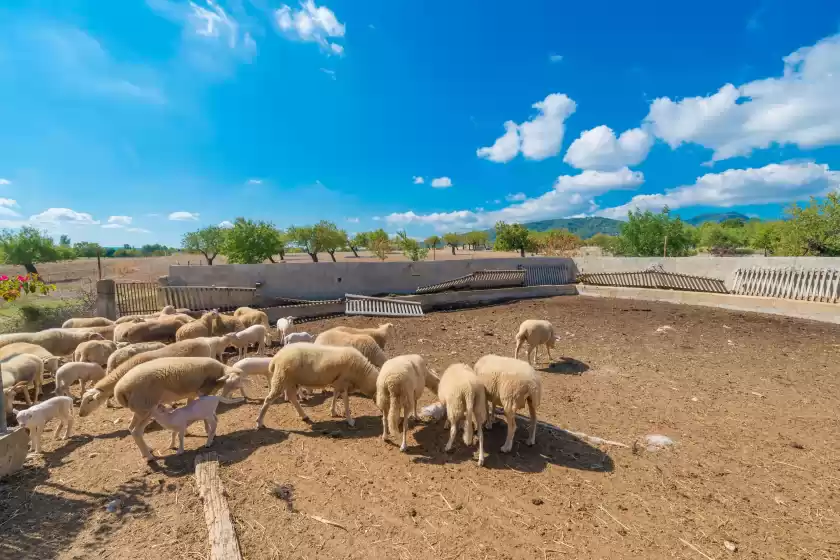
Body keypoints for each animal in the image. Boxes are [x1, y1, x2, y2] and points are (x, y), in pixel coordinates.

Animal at [113, 356, 243, 462]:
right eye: (234, 382)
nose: (228, 395)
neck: (220, 371)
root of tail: (119, 391)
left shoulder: (193, 394)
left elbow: (191, 408)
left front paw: (187, 430)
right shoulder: (203, 392)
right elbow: (205, 416)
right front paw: (208, 431)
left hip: (140, 410)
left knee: (132, 429)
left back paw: (146, 450)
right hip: (146, 408)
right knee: (136, 431)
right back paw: (149, 457)